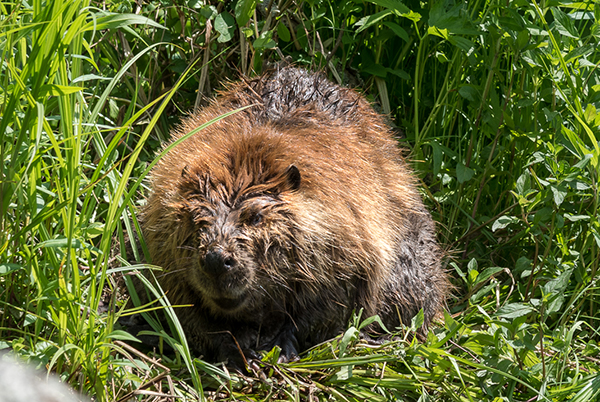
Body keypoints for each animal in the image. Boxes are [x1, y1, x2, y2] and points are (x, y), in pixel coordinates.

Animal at [141, 66, 448, 368]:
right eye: (195, 218)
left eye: (256, 217)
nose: (216, 260)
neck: (248, 156)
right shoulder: (164, 255)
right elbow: (183, 312)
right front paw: (240, 354)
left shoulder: (349, 232)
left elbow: (333, 301)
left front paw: (278, 346)